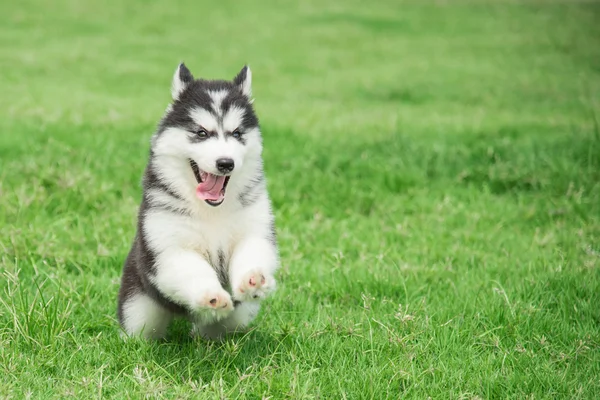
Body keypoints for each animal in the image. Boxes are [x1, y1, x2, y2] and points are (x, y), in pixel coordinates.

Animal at [117, 64, 278, 340]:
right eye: (202, 133)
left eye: (237, 133)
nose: (225, 163)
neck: (211, 211)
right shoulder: (169, 247)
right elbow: (193, 269)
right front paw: (211, 295)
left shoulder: (254, 229)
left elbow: (252, 251)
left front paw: (253, 278)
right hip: (137, 307)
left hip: (236, 317)